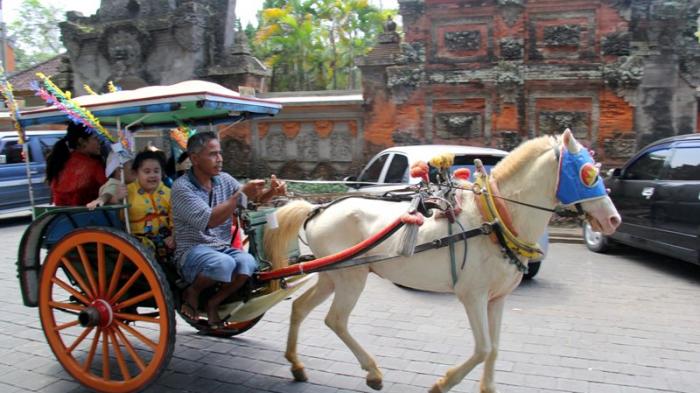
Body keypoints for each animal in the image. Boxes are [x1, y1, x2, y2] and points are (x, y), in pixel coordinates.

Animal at [266, 131, 620, 392]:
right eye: (588, 174)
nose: (613, 220)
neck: (496, 217)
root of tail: (317, 210)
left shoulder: (497, 298)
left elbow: (495, 348)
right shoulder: (472, 295)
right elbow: (483, 348)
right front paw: (443, 383)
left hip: (332, 273)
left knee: (300, 308)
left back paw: (296, 364)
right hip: (351, 276)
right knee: (335, 320)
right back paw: (372, 372)